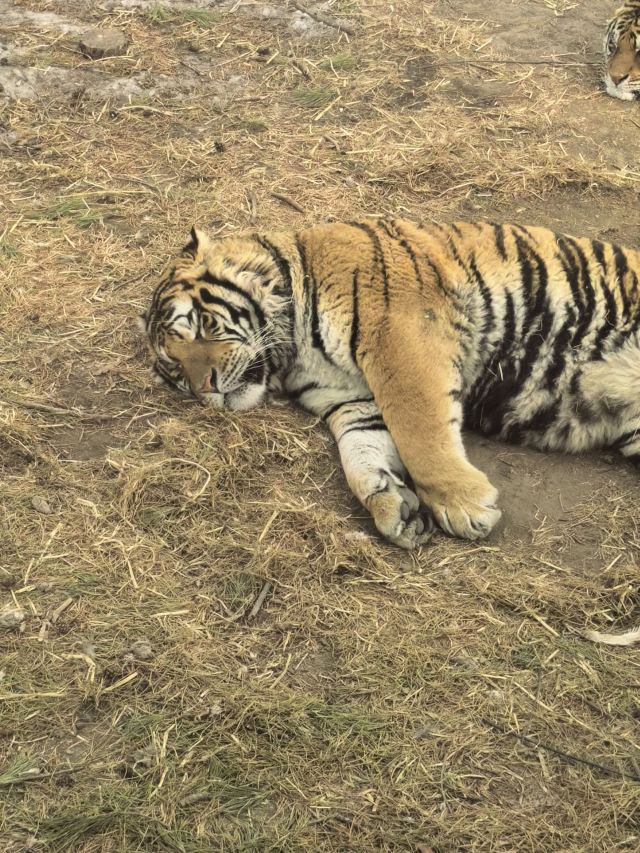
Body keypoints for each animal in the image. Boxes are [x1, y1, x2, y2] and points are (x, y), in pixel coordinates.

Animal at [139, 219, 640, 550]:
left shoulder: (403, 340)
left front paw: (464, 505)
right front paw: (393, 507)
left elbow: (420, 433)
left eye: (201, 325)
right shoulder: (353, 400)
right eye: (176, 370)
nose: (206, 388)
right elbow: (362, 455)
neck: (291, 353)